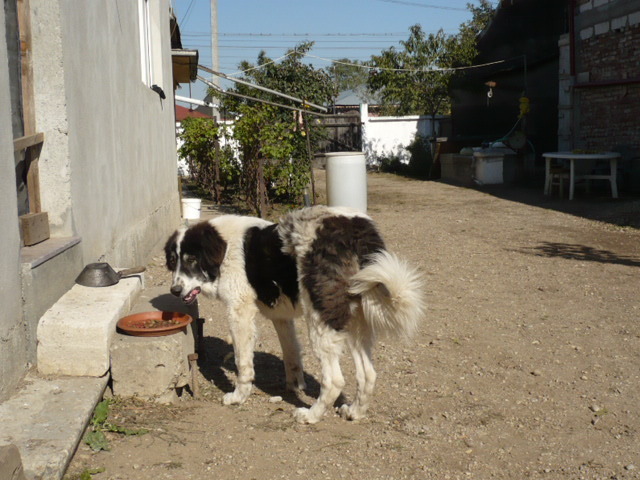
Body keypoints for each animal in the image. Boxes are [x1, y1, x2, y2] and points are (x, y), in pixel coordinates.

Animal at [165, 204, 424, 422]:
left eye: (191, 259)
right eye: (173, 260)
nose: (174, 290)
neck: (223, 251)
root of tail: (355, 230)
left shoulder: (239, 312)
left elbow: (242, 362)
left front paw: (238, 396)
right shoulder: (281, 317)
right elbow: (291, 354)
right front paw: (295, 385)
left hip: (321, 320)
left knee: (334, 380)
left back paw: (311, 415)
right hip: (352, 320)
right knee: (368, 374)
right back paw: (354, 412)